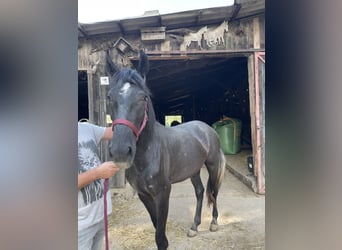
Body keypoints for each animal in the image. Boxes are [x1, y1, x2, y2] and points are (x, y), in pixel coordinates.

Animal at [105, 49, 226, 249]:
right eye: (109, 97)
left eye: (144, 97)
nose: (121, 151)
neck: (146, 156)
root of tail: (207, 128)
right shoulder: (144, 195)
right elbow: (156, 227)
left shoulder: (163, 193)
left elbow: (160, 237)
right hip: (193, 170)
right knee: (200, 192)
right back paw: (194, 226)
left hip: (213, 166)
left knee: (213, 192)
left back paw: (214, 223)